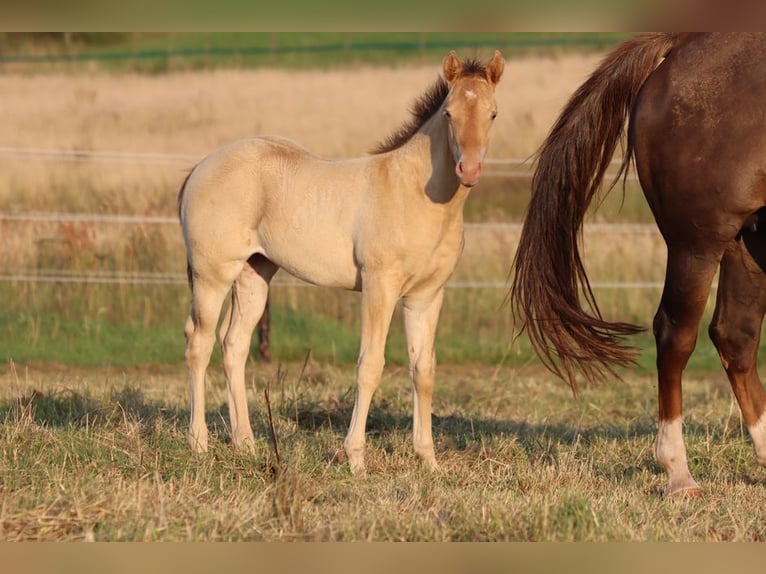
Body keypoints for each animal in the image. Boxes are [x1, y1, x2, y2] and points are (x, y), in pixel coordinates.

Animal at [178, 50, 505, 473]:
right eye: (449, 113)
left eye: (493, 113)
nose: (469, 170)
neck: (416, 192)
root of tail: (200, 167)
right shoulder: (379, 287)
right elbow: (370, 366)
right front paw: (356, 460)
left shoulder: (427, 296)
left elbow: (424, 370)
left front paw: (428, 460)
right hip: (212, 275)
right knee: (199, 344)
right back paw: (199, 444)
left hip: (254, 274)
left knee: (233, 345)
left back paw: (246, 444)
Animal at [510, 33, 766, 496]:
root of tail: (679, 47)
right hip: (696, 244)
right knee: (676, 336)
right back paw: (678, 474)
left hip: (748, 237)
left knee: (735, 336)